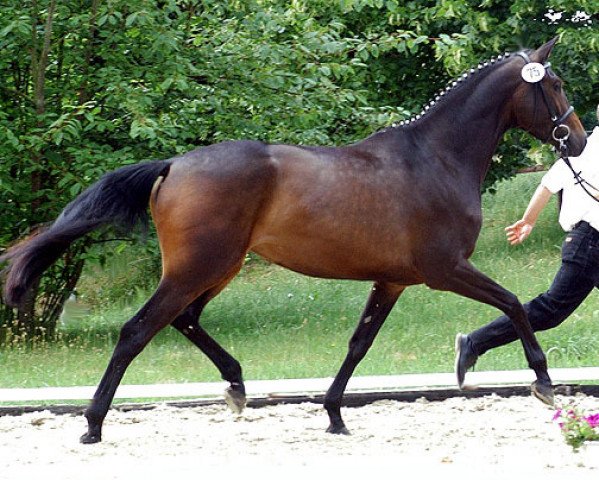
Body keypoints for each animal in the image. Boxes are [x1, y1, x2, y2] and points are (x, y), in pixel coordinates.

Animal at [1, 37, 584, 442]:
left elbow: (358, 344)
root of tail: (172, 164)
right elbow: (515, 303)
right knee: (138, 330)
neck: (434, 159)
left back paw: (237, 387)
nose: (577, 140)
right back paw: (93, 424)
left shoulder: (393, 281)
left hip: (219, 267)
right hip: (197, 268)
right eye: (554, 84)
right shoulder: (446, 270)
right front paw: (542, 382)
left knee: (185, 320)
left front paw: (334, 415)